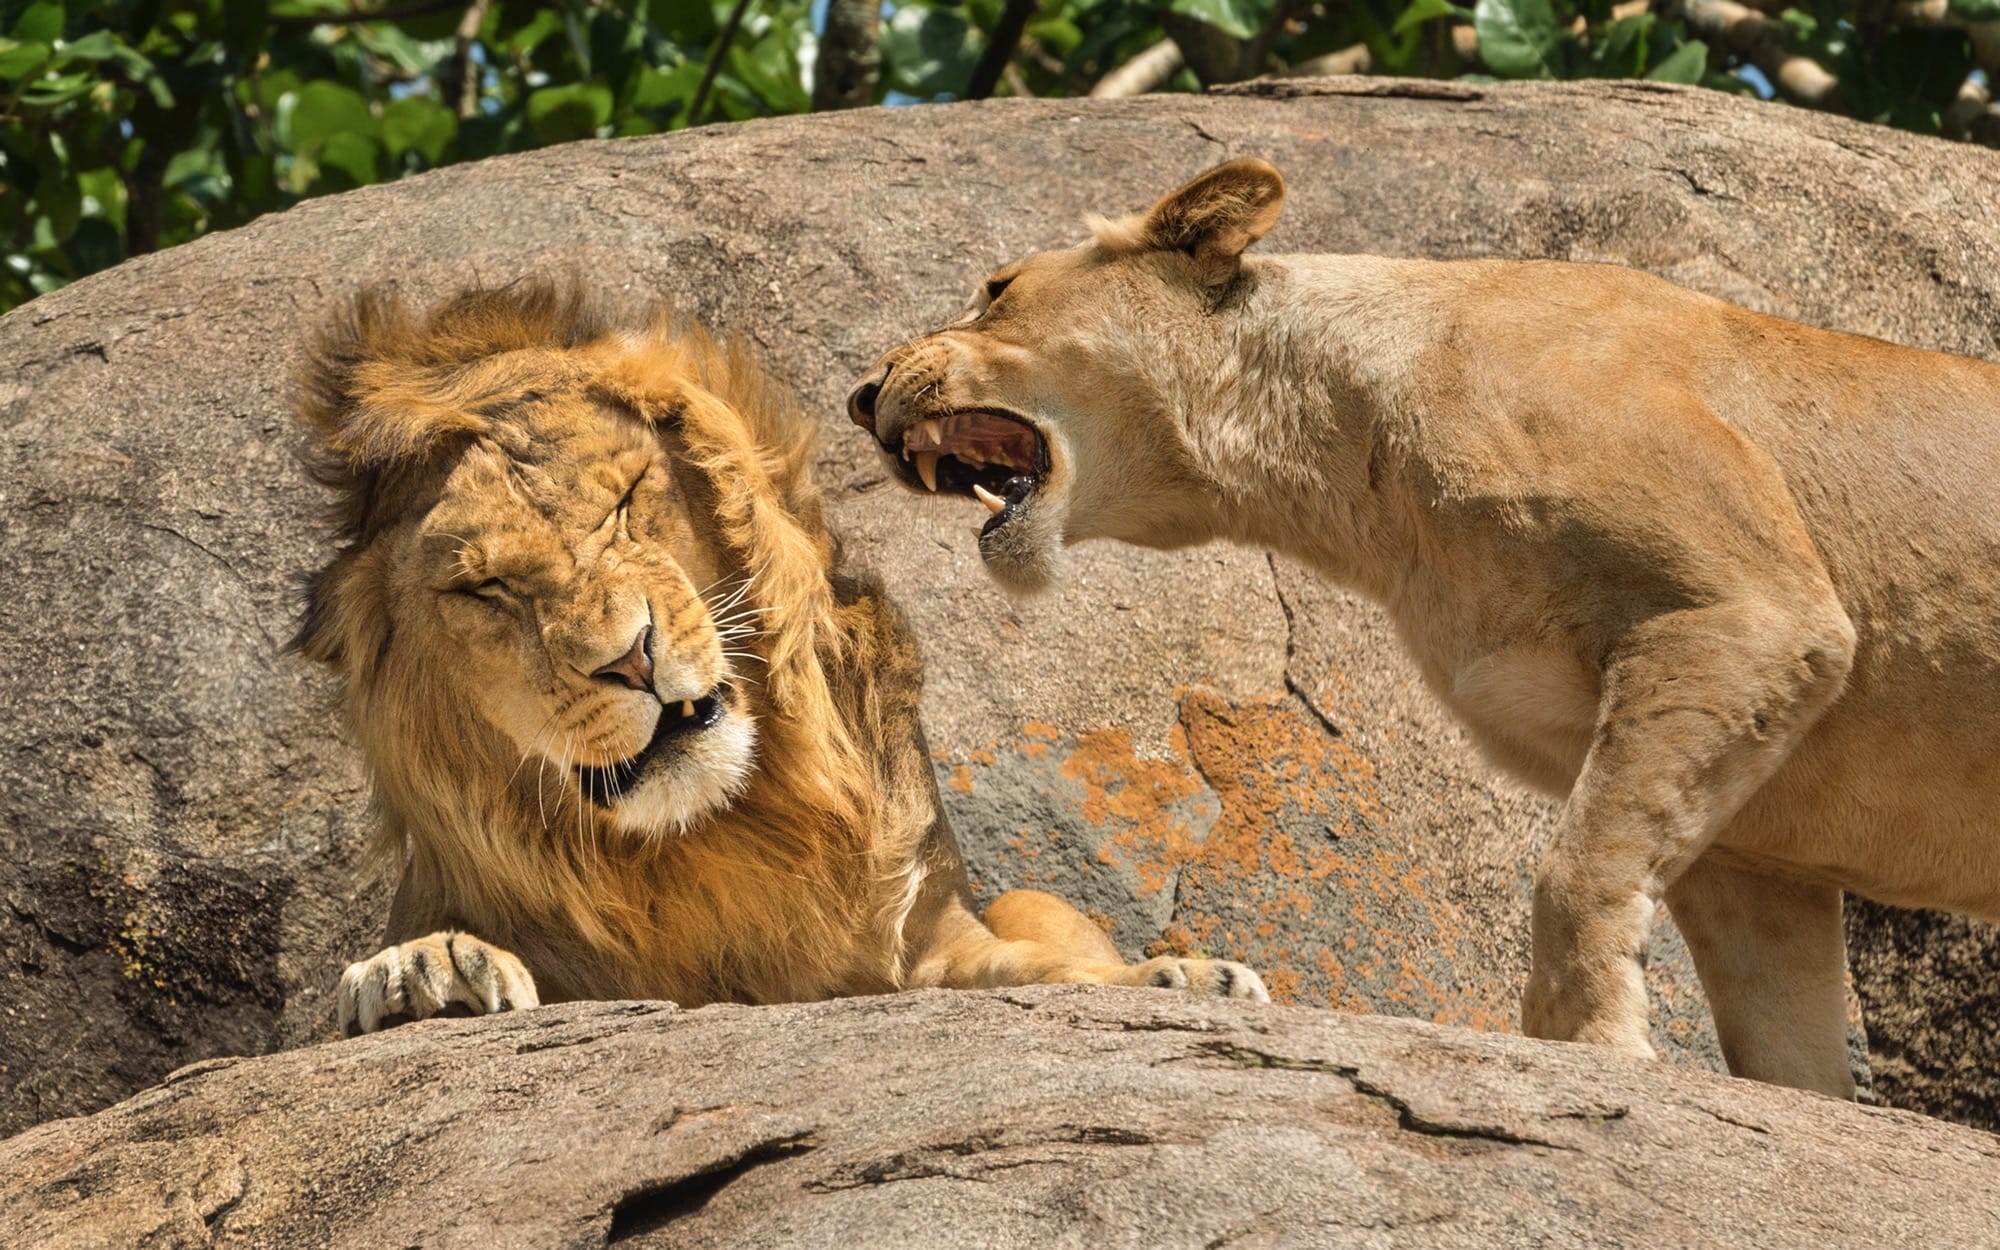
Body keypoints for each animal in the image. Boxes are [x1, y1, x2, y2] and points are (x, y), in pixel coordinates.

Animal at [292, 278, 1266, 1035]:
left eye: (625, 501)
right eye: (483, 589)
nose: (631, 658)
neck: (716, 838)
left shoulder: (925, 940)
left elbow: (1038, 971)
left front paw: (1179, 978)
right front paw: (423, 973)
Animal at [845, 159, 2000, 1099]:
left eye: (997, 289)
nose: (860, 394)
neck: (1348, 465)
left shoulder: (1749, 612)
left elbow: (1576, 870)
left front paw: (1590, 1051)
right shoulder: (1756, 841)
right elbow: (1781, 1037)